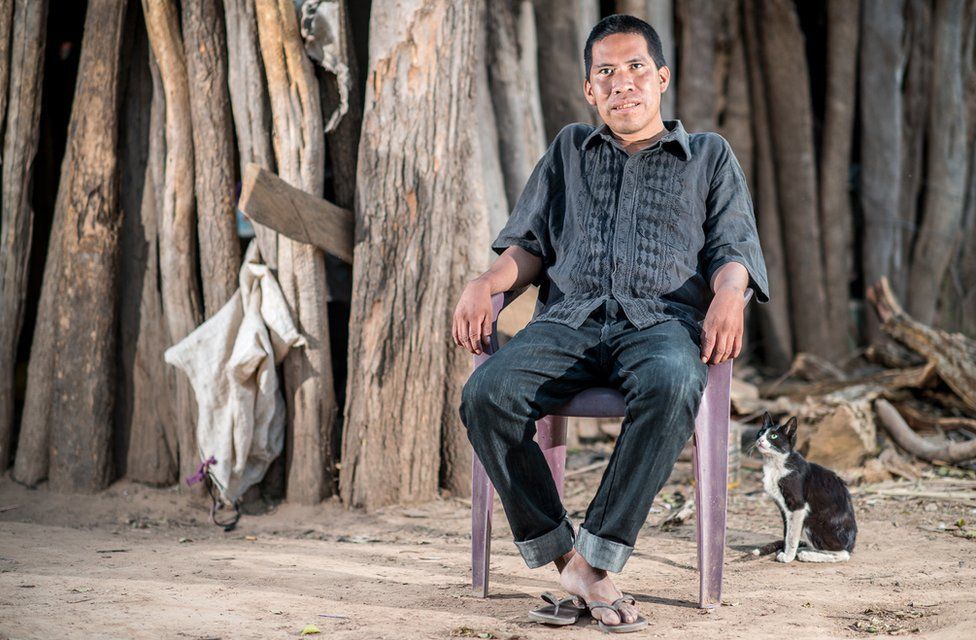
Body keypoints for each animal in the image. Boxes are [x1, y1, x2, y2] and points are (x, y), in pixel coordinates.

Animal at [756, 412, 856, 564]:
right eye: (761, 432)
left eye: (773, 436)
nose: (760, 440)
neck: (775, 465)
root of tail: (851, 544)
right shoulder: (783, 508)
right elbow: (787, 532)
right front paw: (785, 551)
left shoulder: (797, 505)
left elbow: (792, 535)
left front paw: (788, 556)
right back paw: (805, 549)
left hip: (812, 521)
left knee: (843, 554)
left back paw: (808, 555)